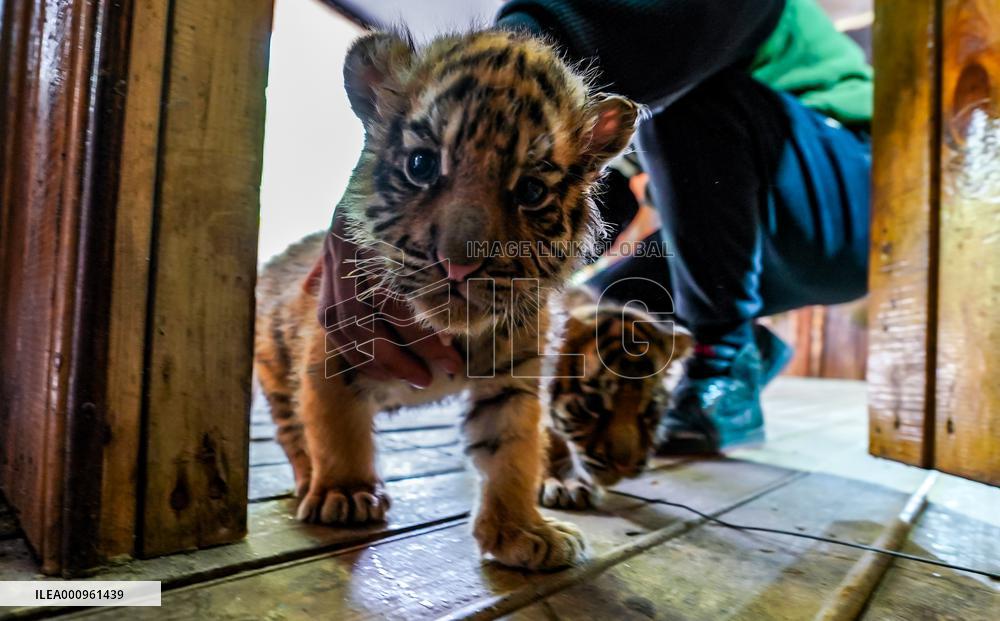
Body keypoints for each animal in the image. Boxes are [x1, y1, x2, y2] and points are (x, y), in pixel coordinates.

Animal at [253, 29, 639, 571]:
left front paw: (523, 532)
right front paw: (347, 492)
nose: (458, 263)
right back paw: (315, 482)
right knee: (294, 432)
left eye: (531, 191)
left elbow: (513, 451)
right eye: (422, 165)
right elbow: (334, 428)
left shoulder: (514, 377)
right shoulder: (334, 350)